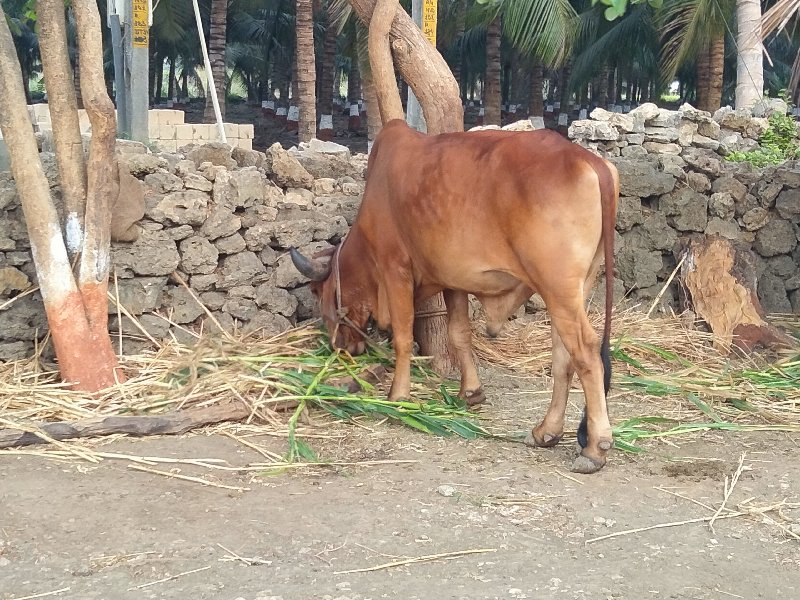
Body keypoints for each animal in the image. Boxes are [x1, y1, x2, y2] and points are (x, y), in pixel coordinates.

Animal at [292, 118, 620, 474]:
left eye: (320, 297)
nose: (341, 348)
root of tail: (590, 161)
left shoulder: (396, 268)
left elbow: (403, 337)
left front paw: (398, 396)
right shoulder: (453, 281)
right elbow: (458, 334)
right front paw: (471, 392)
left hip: (557, 287)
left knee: (586, 352)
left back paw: (595, 449)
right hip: (574, 288)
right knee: (563, 357)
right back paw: (547, 431)